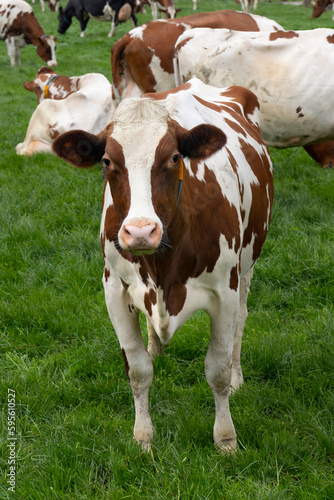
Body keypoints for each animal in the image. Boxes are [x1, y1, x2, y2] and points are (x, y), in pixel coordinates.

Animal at [50, 78, 274, 454]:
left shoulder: (223, 292)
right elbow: (138, 369)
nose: (141, 231)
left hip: (247, 265)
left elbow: (217, 369)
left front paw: (226, 438)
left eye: (174, 158)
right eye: (107, 161)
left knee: (241, 323)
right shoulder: (114, 290)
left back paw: (239, 376)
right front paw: (143, 437)